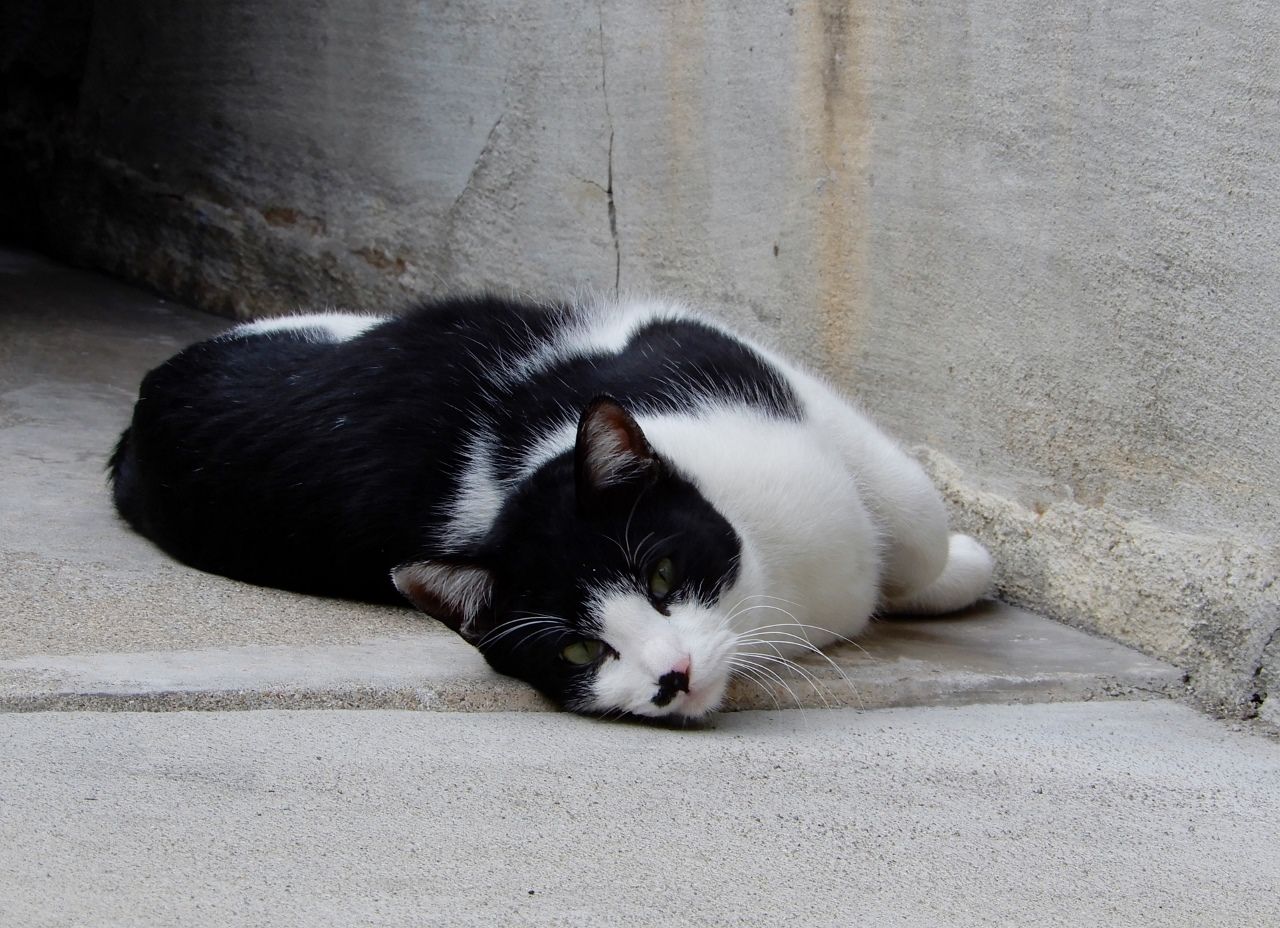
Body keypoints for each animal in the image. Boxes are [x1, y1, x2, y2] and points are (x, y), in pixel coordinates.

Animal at [110, 294, 993, 716]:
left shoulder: (721, 354)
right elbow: (912, 529)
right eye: (578, 651)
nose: (669, 676)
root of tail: (140, 408)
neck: (779, 590)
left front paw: (956, 567)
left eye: (662, 575)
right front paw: (950, 574)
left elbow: (914, 513)